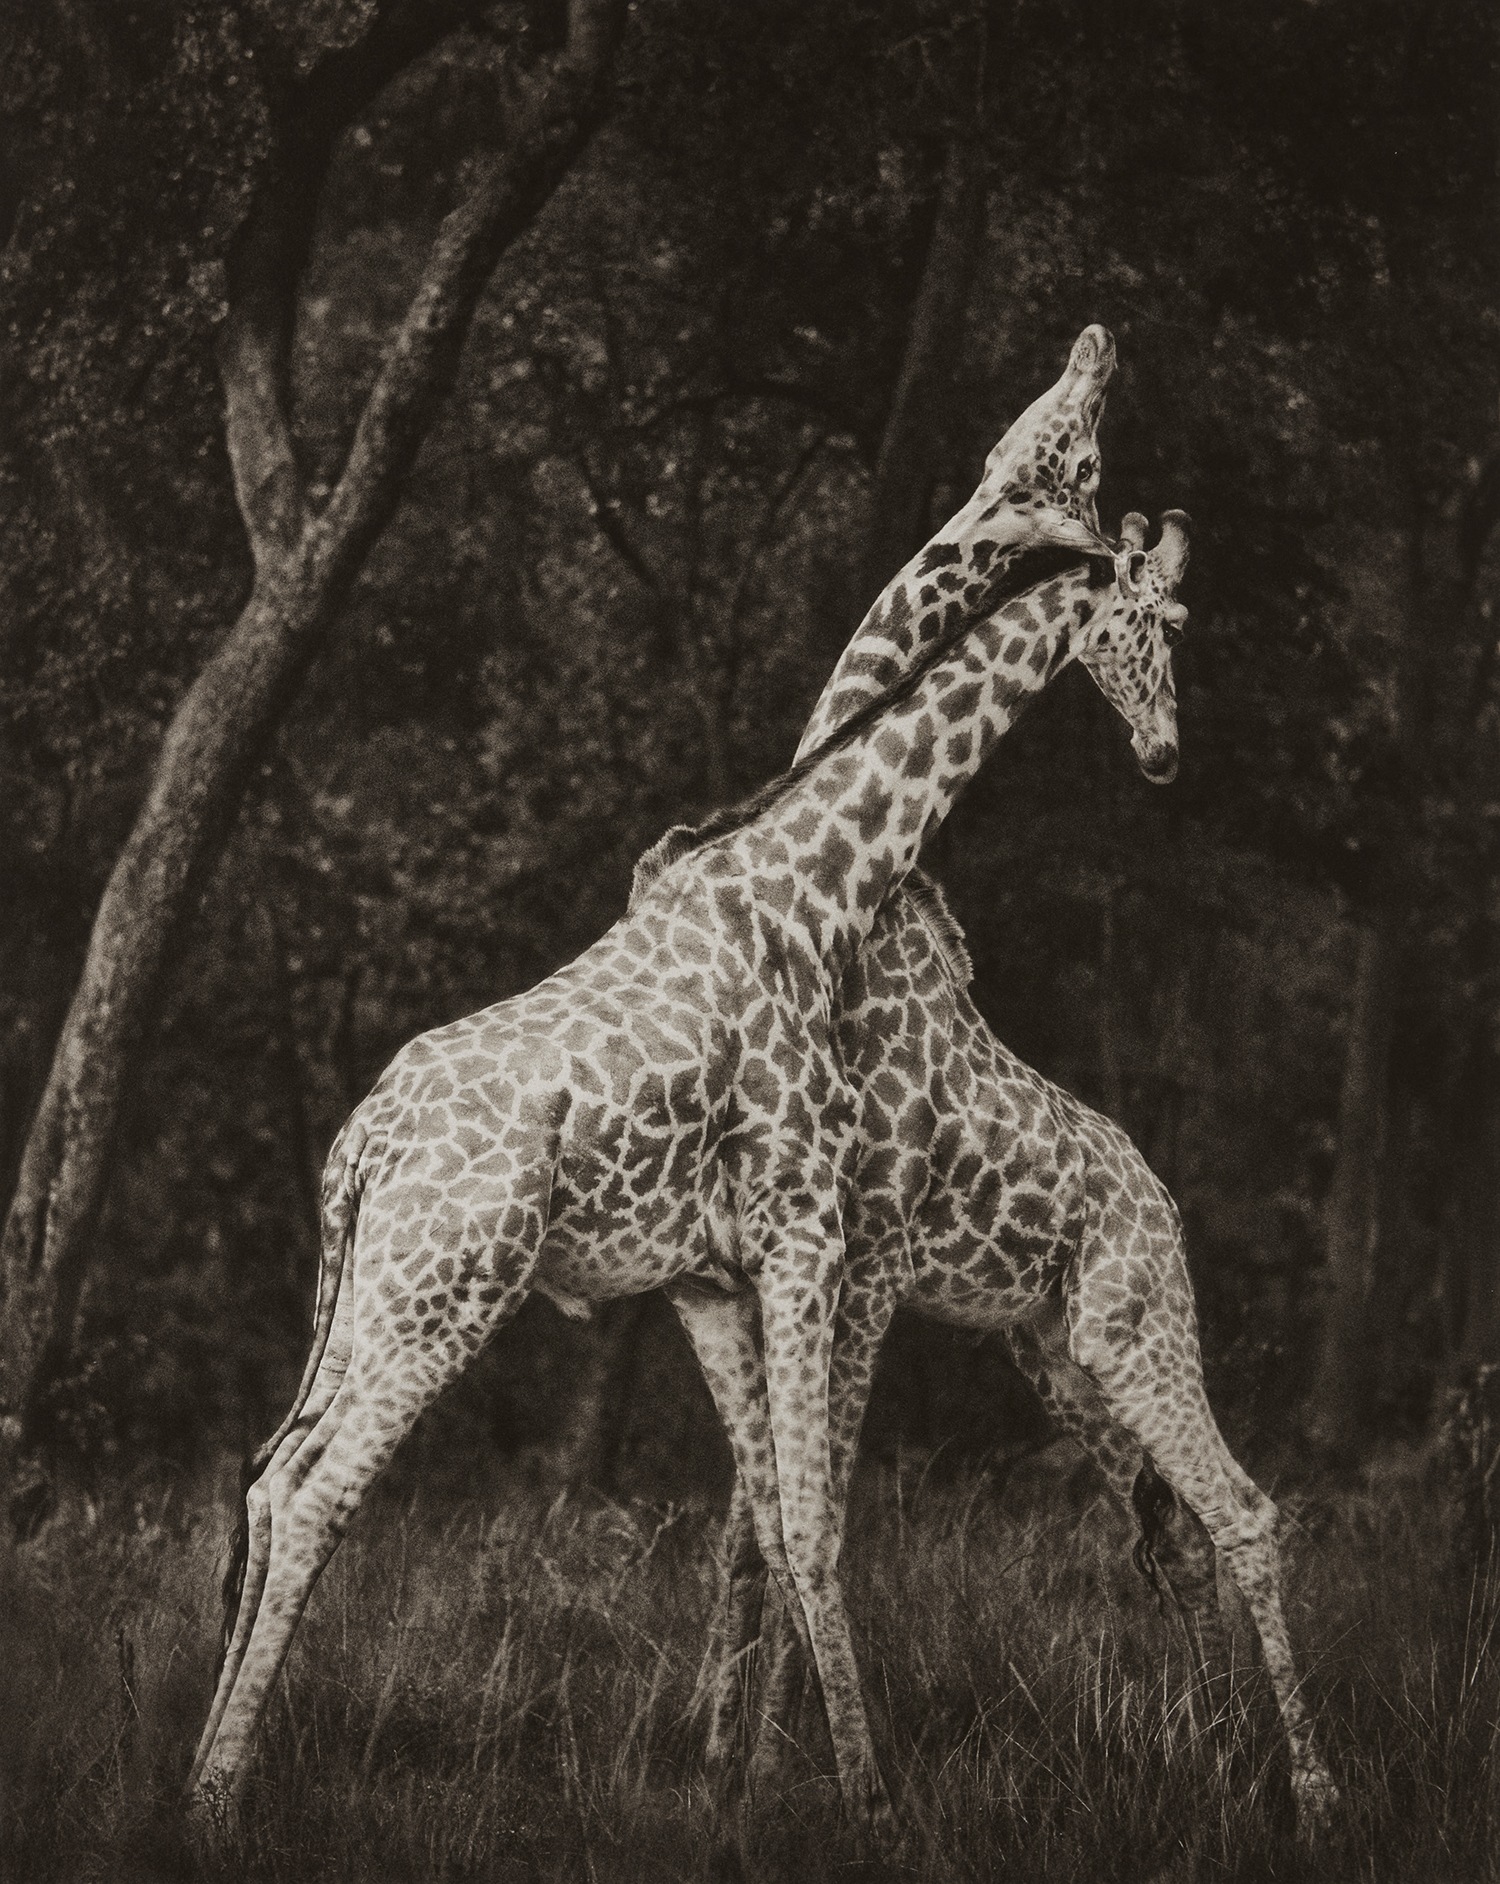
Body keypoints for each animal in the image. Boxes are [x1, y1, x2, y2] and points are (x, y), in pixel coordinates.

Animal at [673, 507, 1339, 1833]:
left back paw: (1313, 1794)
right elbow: (771, 1520)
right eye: (1167, 620)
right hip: (1066, 1357)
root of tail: (1165, 1206)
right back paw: (1222, 1766)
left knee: (1243, 1512)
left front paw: (782, 1774)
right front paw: (752, 1774)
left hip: (1141, 1336)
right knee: (1173, 1534)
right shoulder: (833, 1260)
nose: (1163, 753)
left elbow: (809, 1514)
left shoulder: (866, 1261)